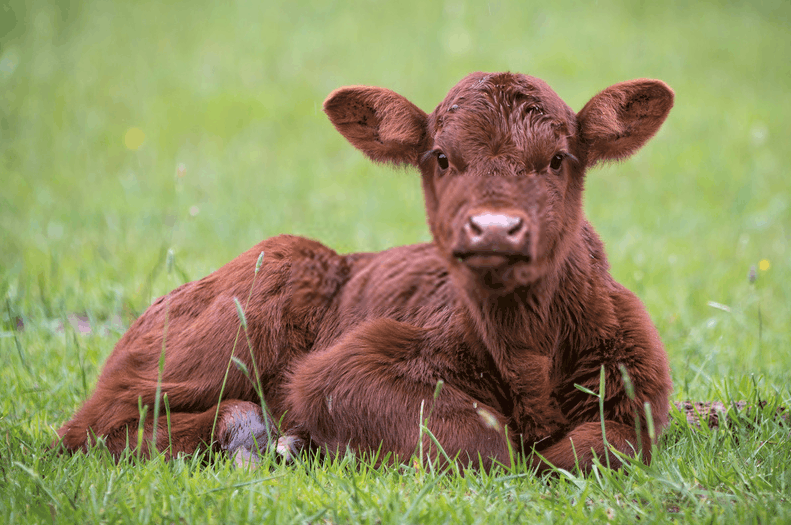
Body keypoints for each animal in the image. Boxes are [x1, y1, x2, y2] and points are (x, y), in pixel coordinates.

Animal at [57, 72, 674, 473]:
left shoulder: (639, 391)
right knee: (90, 428)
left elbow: (602, 446)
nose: (495, 228)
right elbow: (483, 445)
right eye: (441, 158)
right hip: (250, 297)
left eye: (557, 159)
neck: (527, 352)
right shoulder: (343, 370)